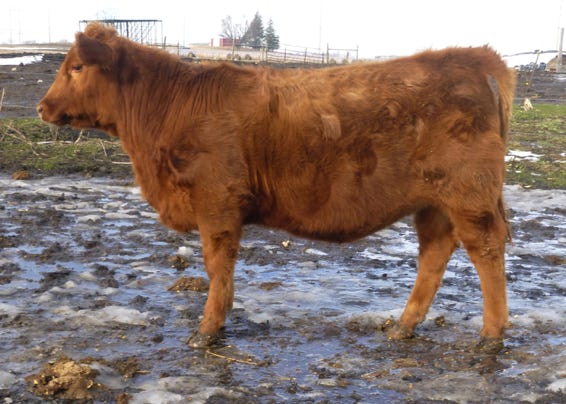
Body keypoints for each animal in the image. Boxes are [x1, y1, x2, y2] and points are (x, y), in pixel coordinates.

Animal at [37, 23, 515, 353]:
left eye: (76, 67)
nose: (42, 107)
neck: (168, 108)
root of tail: (468, 57)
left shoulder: (217, 203)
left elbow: (217, 265)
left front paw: (207, 330)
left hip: (468, 194)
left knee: (486, 251)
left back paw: (491, 335)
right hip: (434, 203)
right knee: (435, 254)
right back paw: (403, 326)